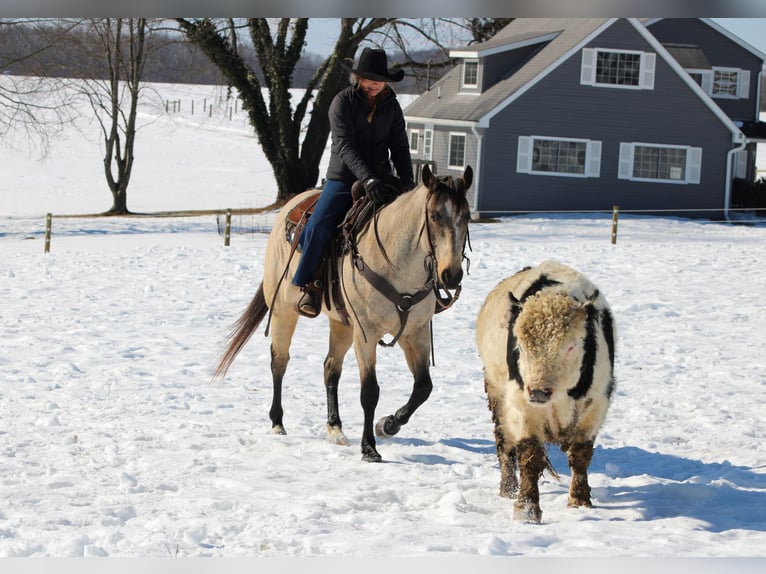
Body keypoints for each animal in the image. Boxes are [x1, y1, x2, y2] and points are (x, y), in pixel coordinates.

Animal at [214, 164, 473, 462]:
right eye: (434, 215)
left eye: (466, 216)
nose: (451, 275)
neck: (396, 263)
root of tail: (290, 206)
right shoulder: (366, 333)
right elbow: (370, 392)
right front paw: (369, 447)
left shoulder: (415, 333)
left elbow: (423, 387)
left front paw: (388, 425)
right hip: (283, 311)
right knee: (279, 361)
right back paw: (277, 422)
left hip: (342, 323)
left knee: (331, 368)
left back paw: (335, 428)